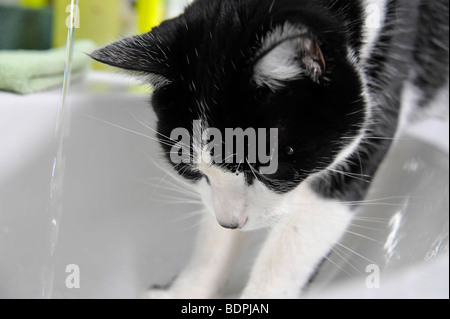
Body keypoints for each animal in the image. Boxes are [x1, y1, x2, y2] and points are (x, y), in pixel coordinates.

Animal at [90, 0, 446, 300]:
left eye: (266, 168)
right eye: (190, 171)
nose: (231, 222)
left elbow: (298, 238)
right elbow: (213, 237)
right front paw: (185, 290)